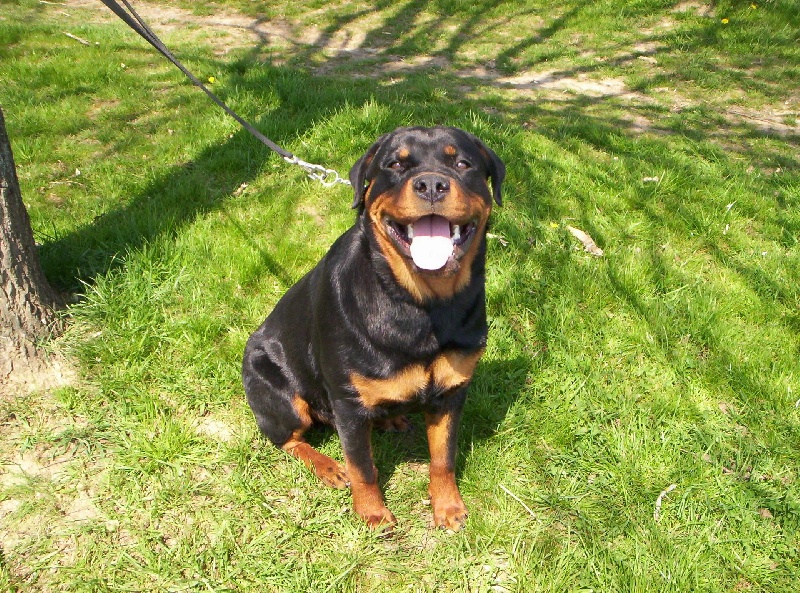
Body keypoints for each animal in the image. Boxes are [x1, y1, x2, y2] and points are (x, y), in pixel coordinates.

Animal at [242, 126, 504, 530]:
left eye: (463, 163)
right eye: (395, 164)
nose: (432, 184)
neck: (422, 306)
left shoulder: (452, 391)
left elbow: (443, 457)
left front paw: (447, 506)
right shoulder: (348, 404)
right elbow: (362, 466)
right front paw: (373, 513)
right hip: (280, 393)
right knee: (289, 438)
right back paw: (327, 466)